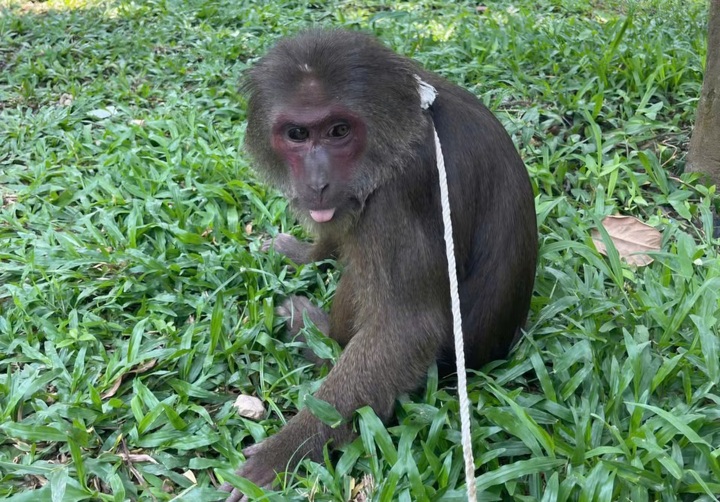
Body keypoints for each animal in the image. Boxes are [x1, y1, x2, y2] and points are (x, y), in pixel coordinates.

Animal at [220, 29, 537, 501]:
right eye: (297, 134)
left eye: (339, 131)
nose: (317, 183)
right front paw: (305, 253)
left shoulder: (397, 195)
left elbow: (404, 330)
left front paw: (284, 452)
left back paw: (316, 336)